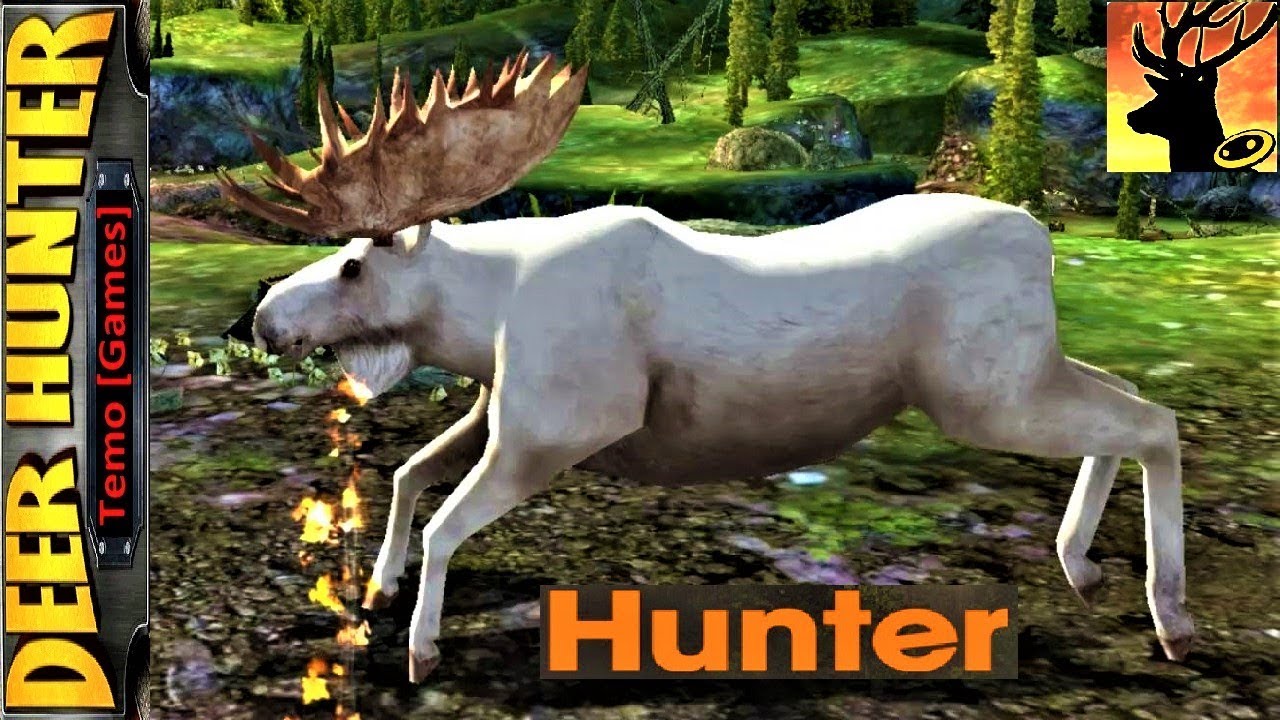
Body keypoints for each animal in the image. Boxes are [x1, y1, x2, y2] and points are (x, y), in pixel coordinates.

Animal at [218, 52, 1194, 681]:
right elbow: (409, 475)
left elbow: (444, 522)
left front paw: (423, 647)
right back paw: (1080, 565)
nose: (259, 317)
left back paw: (1171, 616)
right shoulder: (498, 408)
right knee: (1131, 395)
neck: (477, 319)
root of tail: (1045, 243)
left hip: (984, 392)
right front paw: (378, 588)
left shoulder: (562, 424)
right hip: (1025, 368)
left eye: (354, 266)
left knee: (1156, 421)